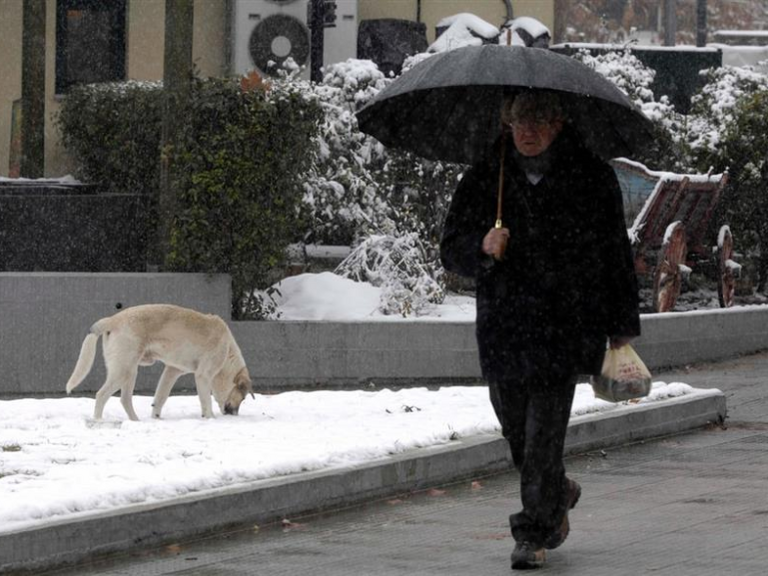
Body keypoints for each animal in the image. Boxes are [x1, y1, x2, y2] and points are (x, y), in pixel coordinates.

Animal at [65, 304, 254, 420]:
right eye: (243, 397)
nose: (234, 415)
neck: (227, 352)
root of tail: (112, 319)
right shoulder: (203, 376)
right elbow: (205, 401)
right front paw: (211, 418)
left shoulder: (171, 371)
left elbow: (160, 397)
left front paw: (156, 417)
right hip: (123, 371)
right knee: (101, 395)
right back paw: (98, 421)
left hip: (130, 372)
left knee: (125, 400)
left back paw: (136, 422)